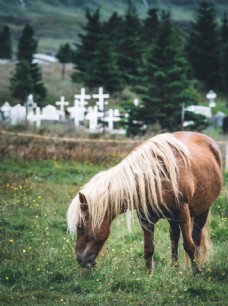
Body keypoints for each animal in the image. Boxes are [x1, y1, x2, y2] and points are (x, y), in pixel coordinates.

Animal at [66, 131, 223, 272]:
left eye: (80, 226)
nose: (80, 260)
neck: (157, 178)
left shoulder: (183, 214)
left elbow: (189, 245)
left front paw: (196, 274)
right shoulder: (146, 220)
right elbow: (149, 249)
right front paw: (149, 276)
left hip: (203, 210)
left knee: (196, 237)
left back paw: (196, 267)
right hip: (173, 218)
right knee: (174, 236)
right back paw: (174, 269)